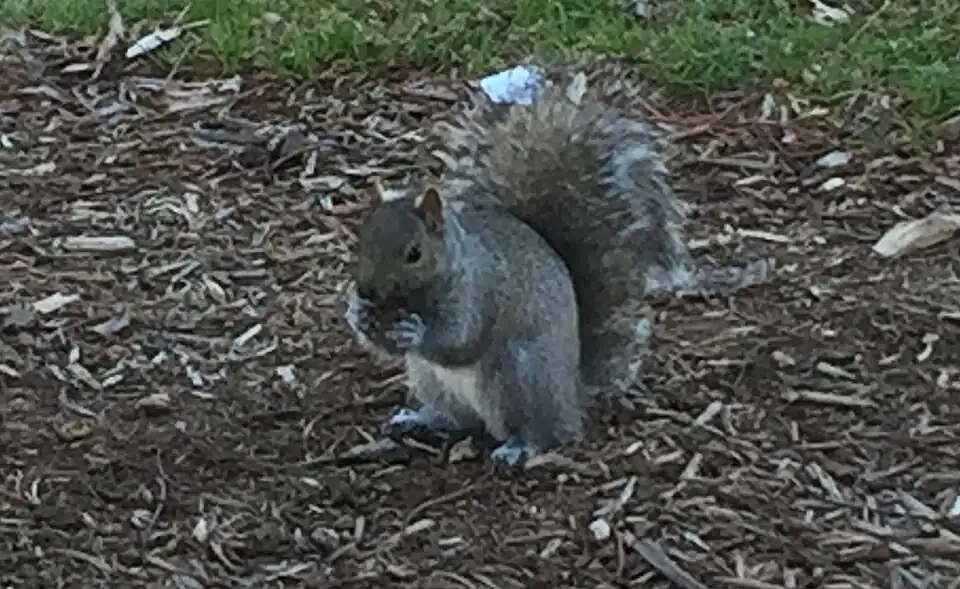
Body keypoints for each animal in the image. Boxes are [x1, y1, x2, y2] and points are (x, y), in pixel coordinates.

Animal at [343, 71, 771, 466]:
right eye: (362, 240)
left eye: (414, 253)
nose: (366, 291)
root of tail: (572, 396)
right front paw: (357, 315)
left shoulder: (480, 290)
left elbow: (459, 337)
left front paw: (414, 330)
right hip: (431, 380)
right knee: (459, 418)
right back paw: (421, 418)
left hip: (518, 378)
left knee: (542, 431)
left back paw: (519, 446)